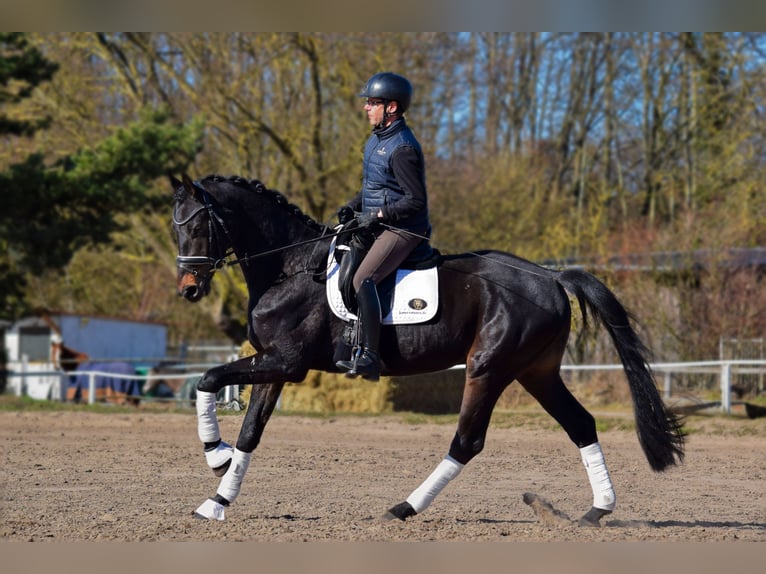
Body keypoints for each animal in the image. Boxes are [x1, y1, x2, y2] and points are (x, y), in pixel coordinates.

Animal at [171, 173, 685, 524]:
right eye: (176, 230)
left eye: (197, 226)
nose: (189, 289)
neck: (289, 266)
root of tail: (552, 276)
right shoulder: (274, 365)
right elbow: (250, 432)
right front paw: (218, 498)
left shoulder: (286, 363)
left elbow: (209, 380)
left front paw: (214, 455)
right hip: (535, 371)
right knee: (580, 424)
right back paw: (598, 509)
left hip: (488, 368)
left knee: (467, 441)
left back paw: (405, 506)